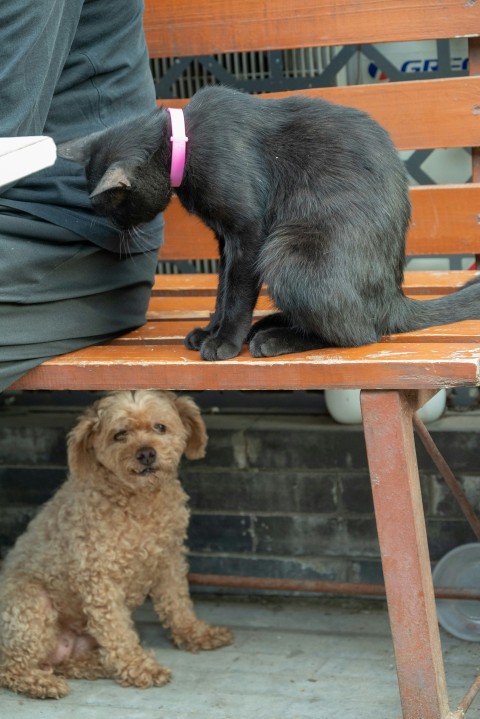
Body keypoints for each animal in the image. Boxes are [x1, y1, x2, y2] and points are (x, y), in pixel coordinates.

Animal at [0, 390, 232, 700]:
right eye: (119, 434)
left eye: (160, 427)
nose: (146, 453)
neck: (139, 503)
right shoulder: (99, 577)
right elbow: (117, 630)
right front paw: (138, 667)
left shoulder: (169, 559)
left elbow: (178, 604)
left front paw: (196, 634)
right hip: (31, 605)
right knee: (12, 666)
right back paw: (43, 684)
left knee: (64, 663)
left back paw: (96, 665)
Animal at [59, 86, 480, 360]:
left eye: (114, 209)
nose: (116, 230)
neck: (185, 141)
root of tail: (394, 298)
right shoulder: (224, 239)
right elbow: (223, 289)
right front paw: (210, 329)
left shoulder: (248, 231)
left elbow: (237, 293)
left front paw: (225, 342)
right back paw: (271, 323)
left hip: (287, 251)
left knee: (360, 334)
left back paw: (274, 339)